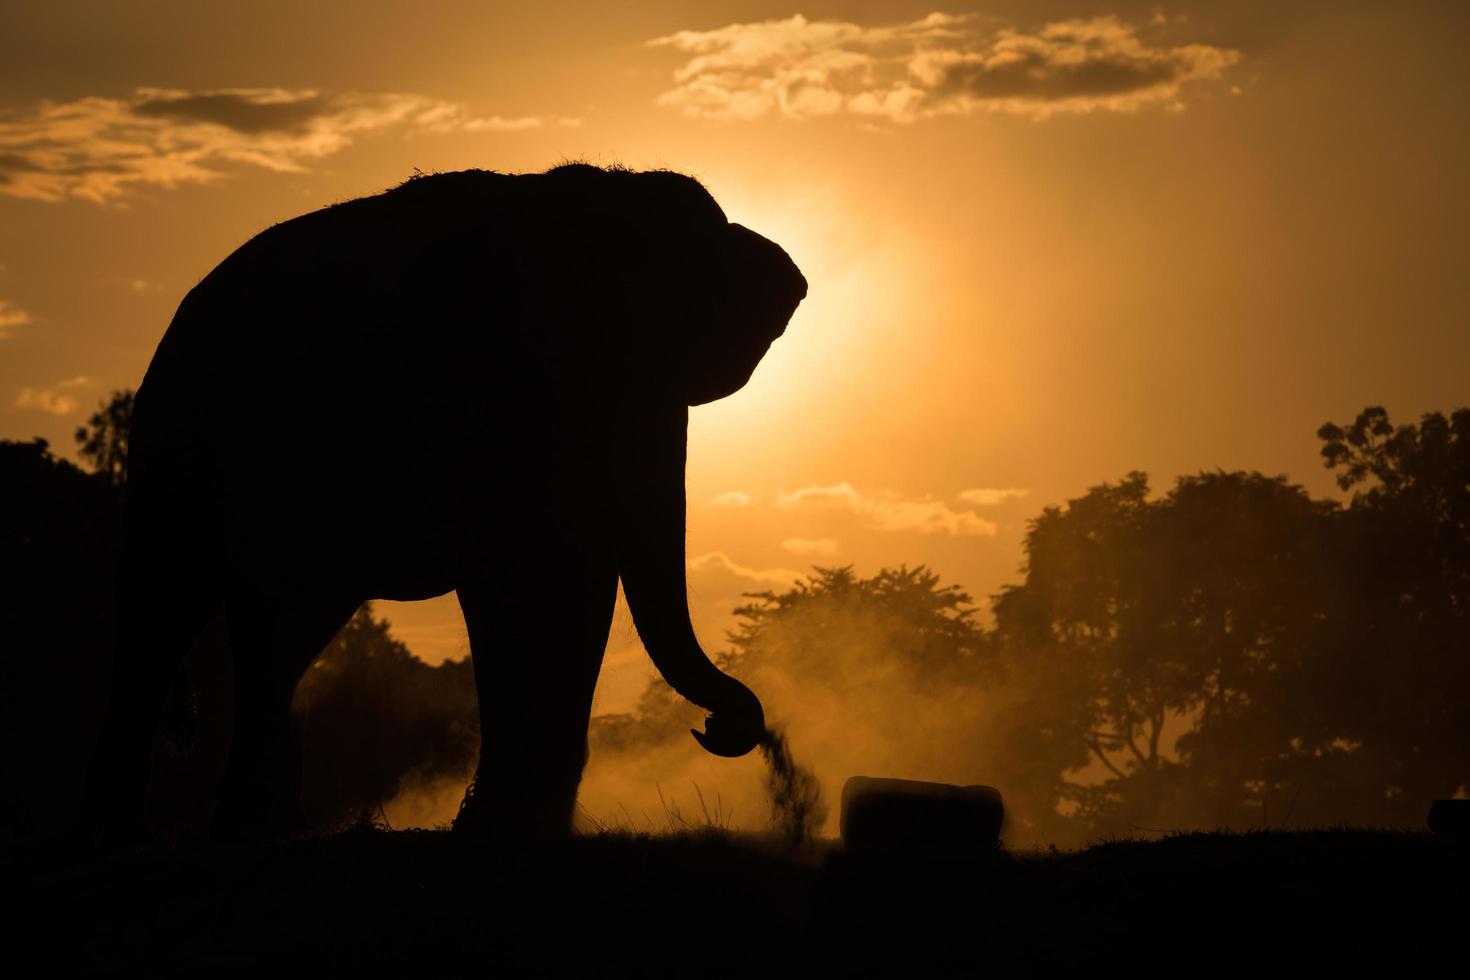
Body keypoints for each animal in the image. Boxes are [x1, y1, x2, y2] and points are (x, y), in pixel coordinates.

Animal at [84, 160, 811, 846]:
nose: (721, 727)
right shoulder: (472, 392)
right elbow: (518, 577)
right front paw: (500, 828)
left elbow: (581, 578)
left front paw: (521, 830)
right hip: (189, 443)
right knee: (184, 606)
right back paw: (158, 834)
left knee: (283, 630)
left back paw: (258, 830)